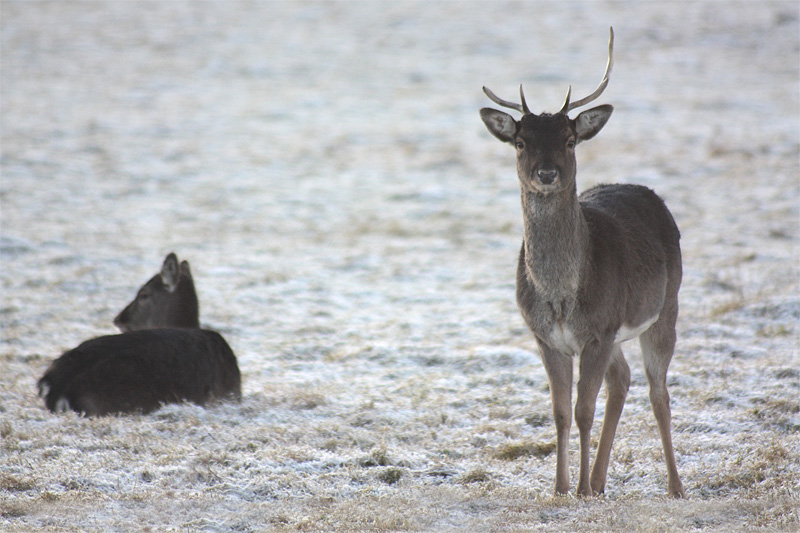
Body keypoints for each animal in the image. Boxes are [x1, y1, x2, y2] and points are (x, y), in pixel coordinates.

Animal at [478, 27, 684, 496]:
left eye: (569, 141)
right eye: (521, 142)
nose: (546, 173)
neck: (559, 296)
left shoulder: (599, 330)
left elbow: (583, 410)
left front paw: (581, 491)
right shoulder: (546, 337)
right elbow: (559, 412)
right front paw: (561, 487)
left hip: (666, 306)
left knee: (658, 392)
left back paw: (674, 486)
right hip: (617, 333)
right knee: (622, 381)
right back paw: (602, 479)